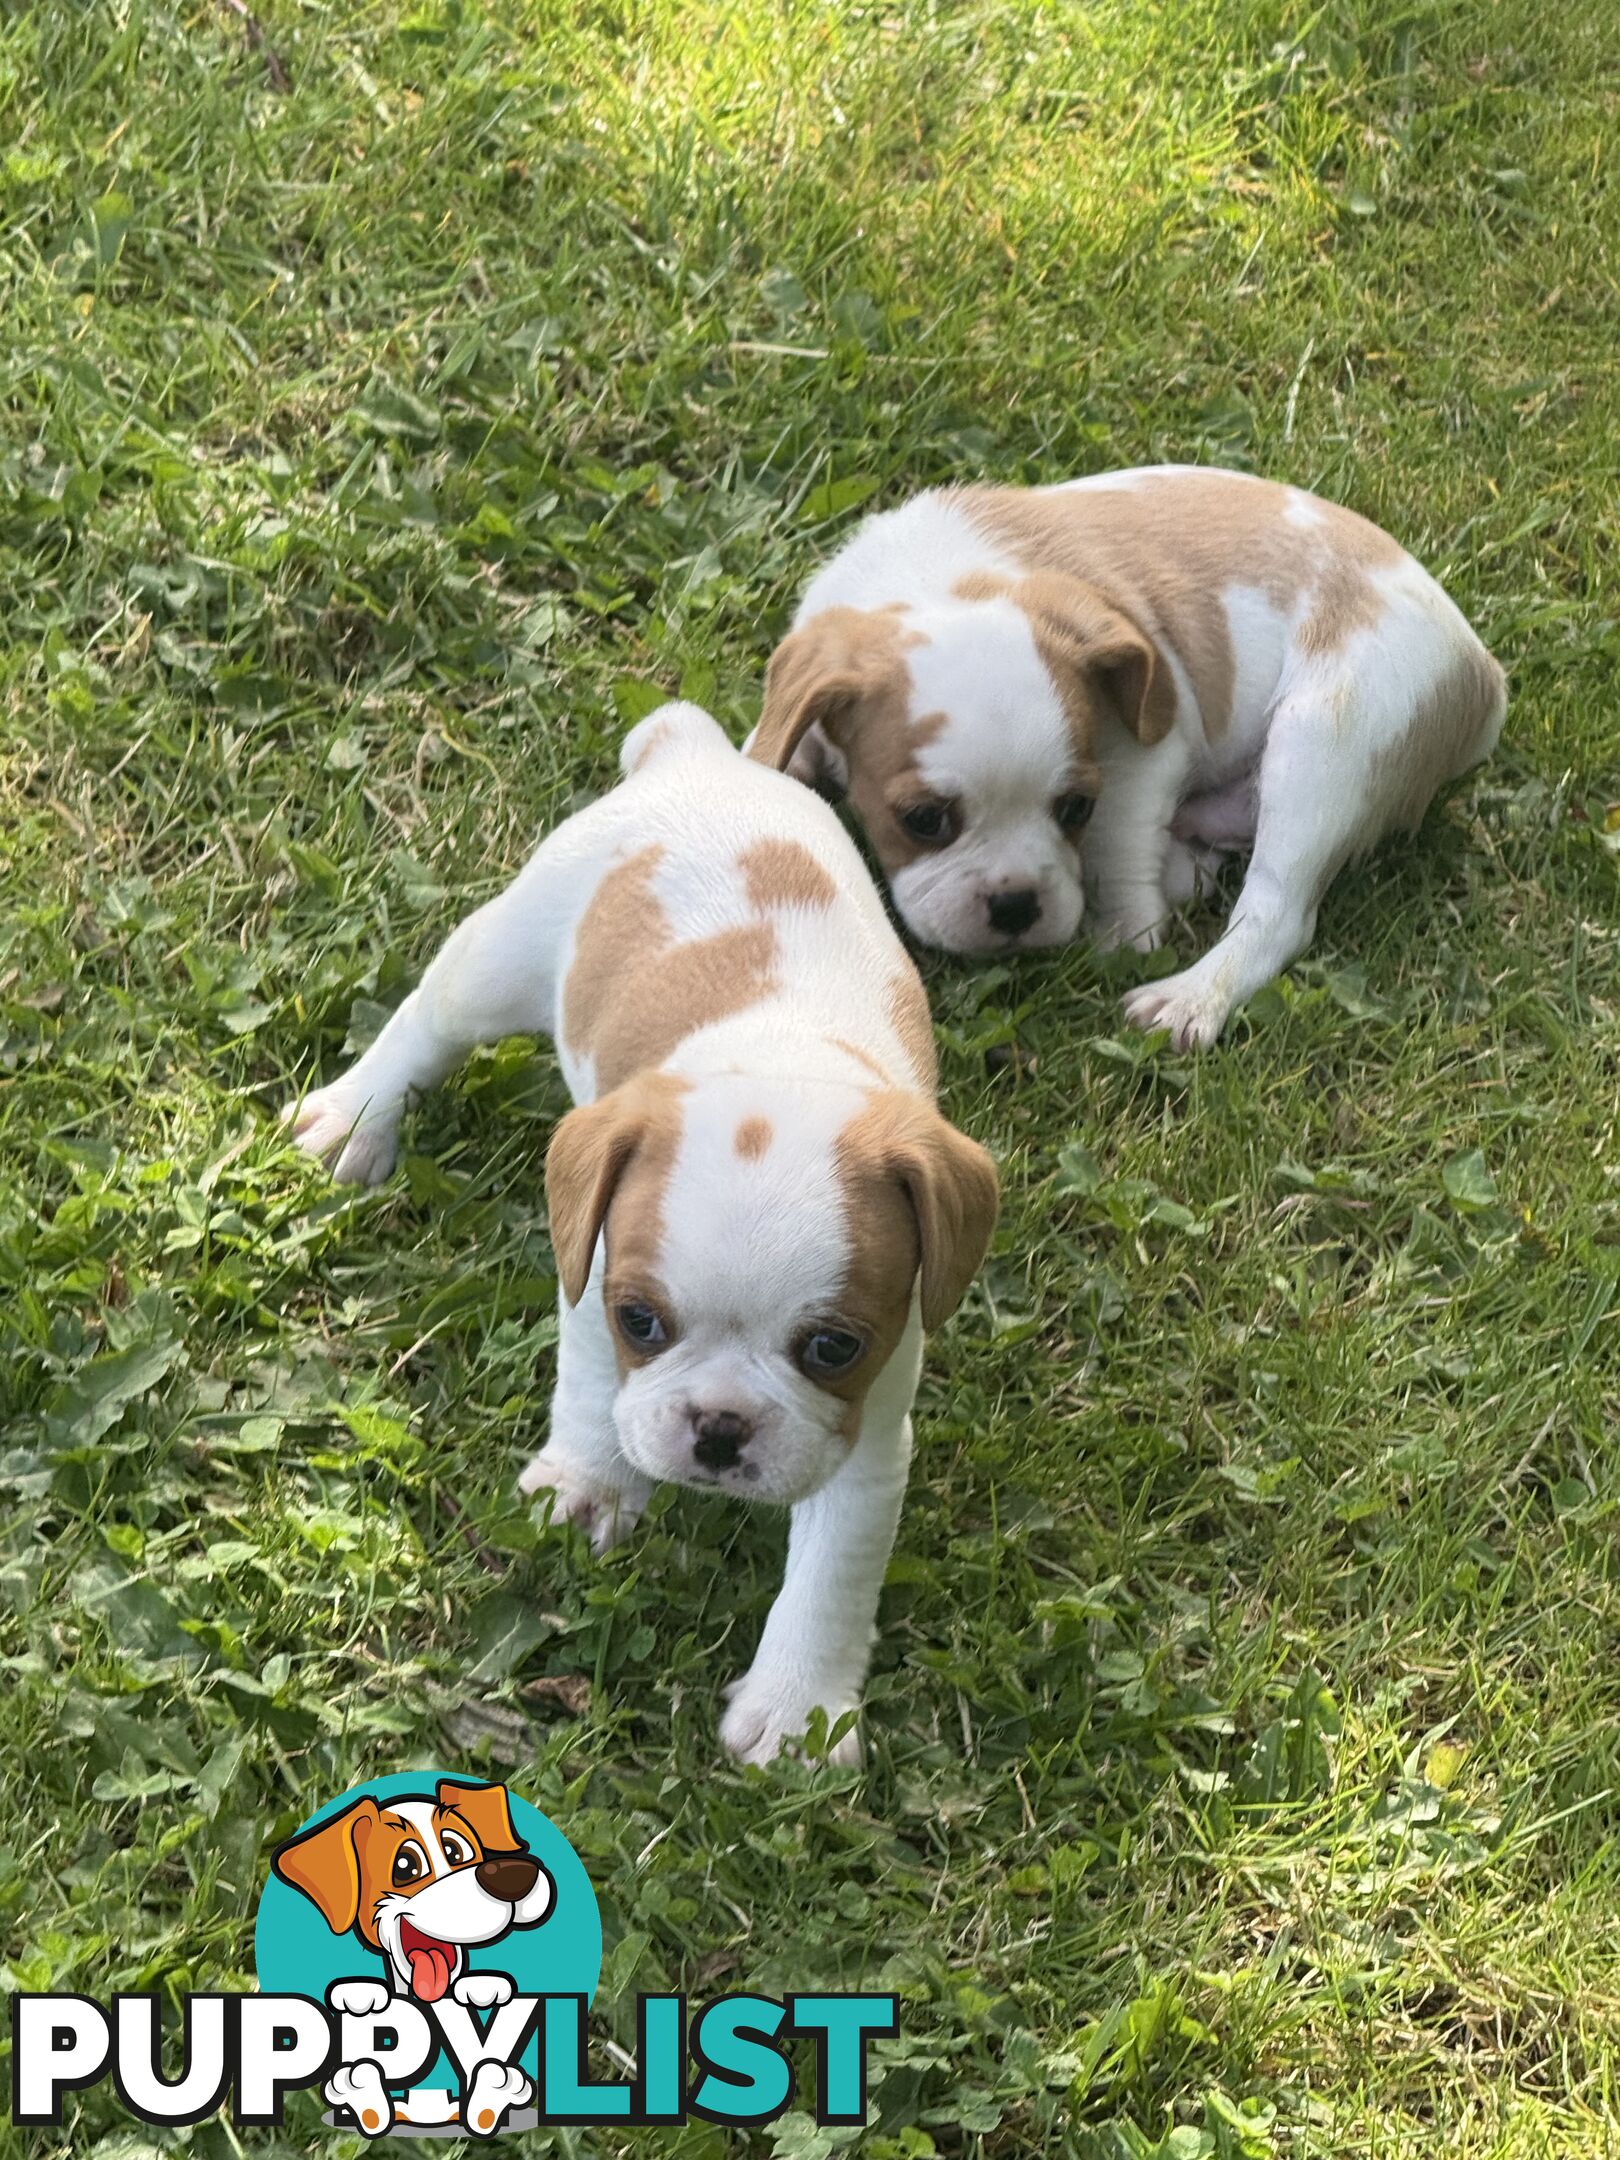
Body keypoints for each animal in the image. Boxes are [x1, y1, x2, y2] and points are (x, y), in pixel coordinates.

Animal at [285, 708, 997, 1771]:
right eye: (642, 1324)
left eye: (834, 1347)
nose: (719, 1428)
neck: (783, 1062)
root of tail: (694, 752)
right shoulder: (590, 1287)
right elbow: (589, 1397)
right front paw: (587, 1486)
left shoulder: (866, 1430)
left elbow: (832, 1579)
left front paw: (799, 1711)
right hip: (504, 955)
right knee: (425, 1022)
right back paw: (355, 1118)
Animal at [751, 464, 1512, 1045]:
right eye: (923, 820)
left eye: (1074, 807)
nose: (1016, 906)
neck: (942, 586)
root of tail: (1482, 672)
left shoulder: (1146, 750)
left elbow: (1120, 844)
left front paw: (1126, 937)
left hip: (1328, 739)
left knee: (1276, 910)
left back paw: (1190, 996)